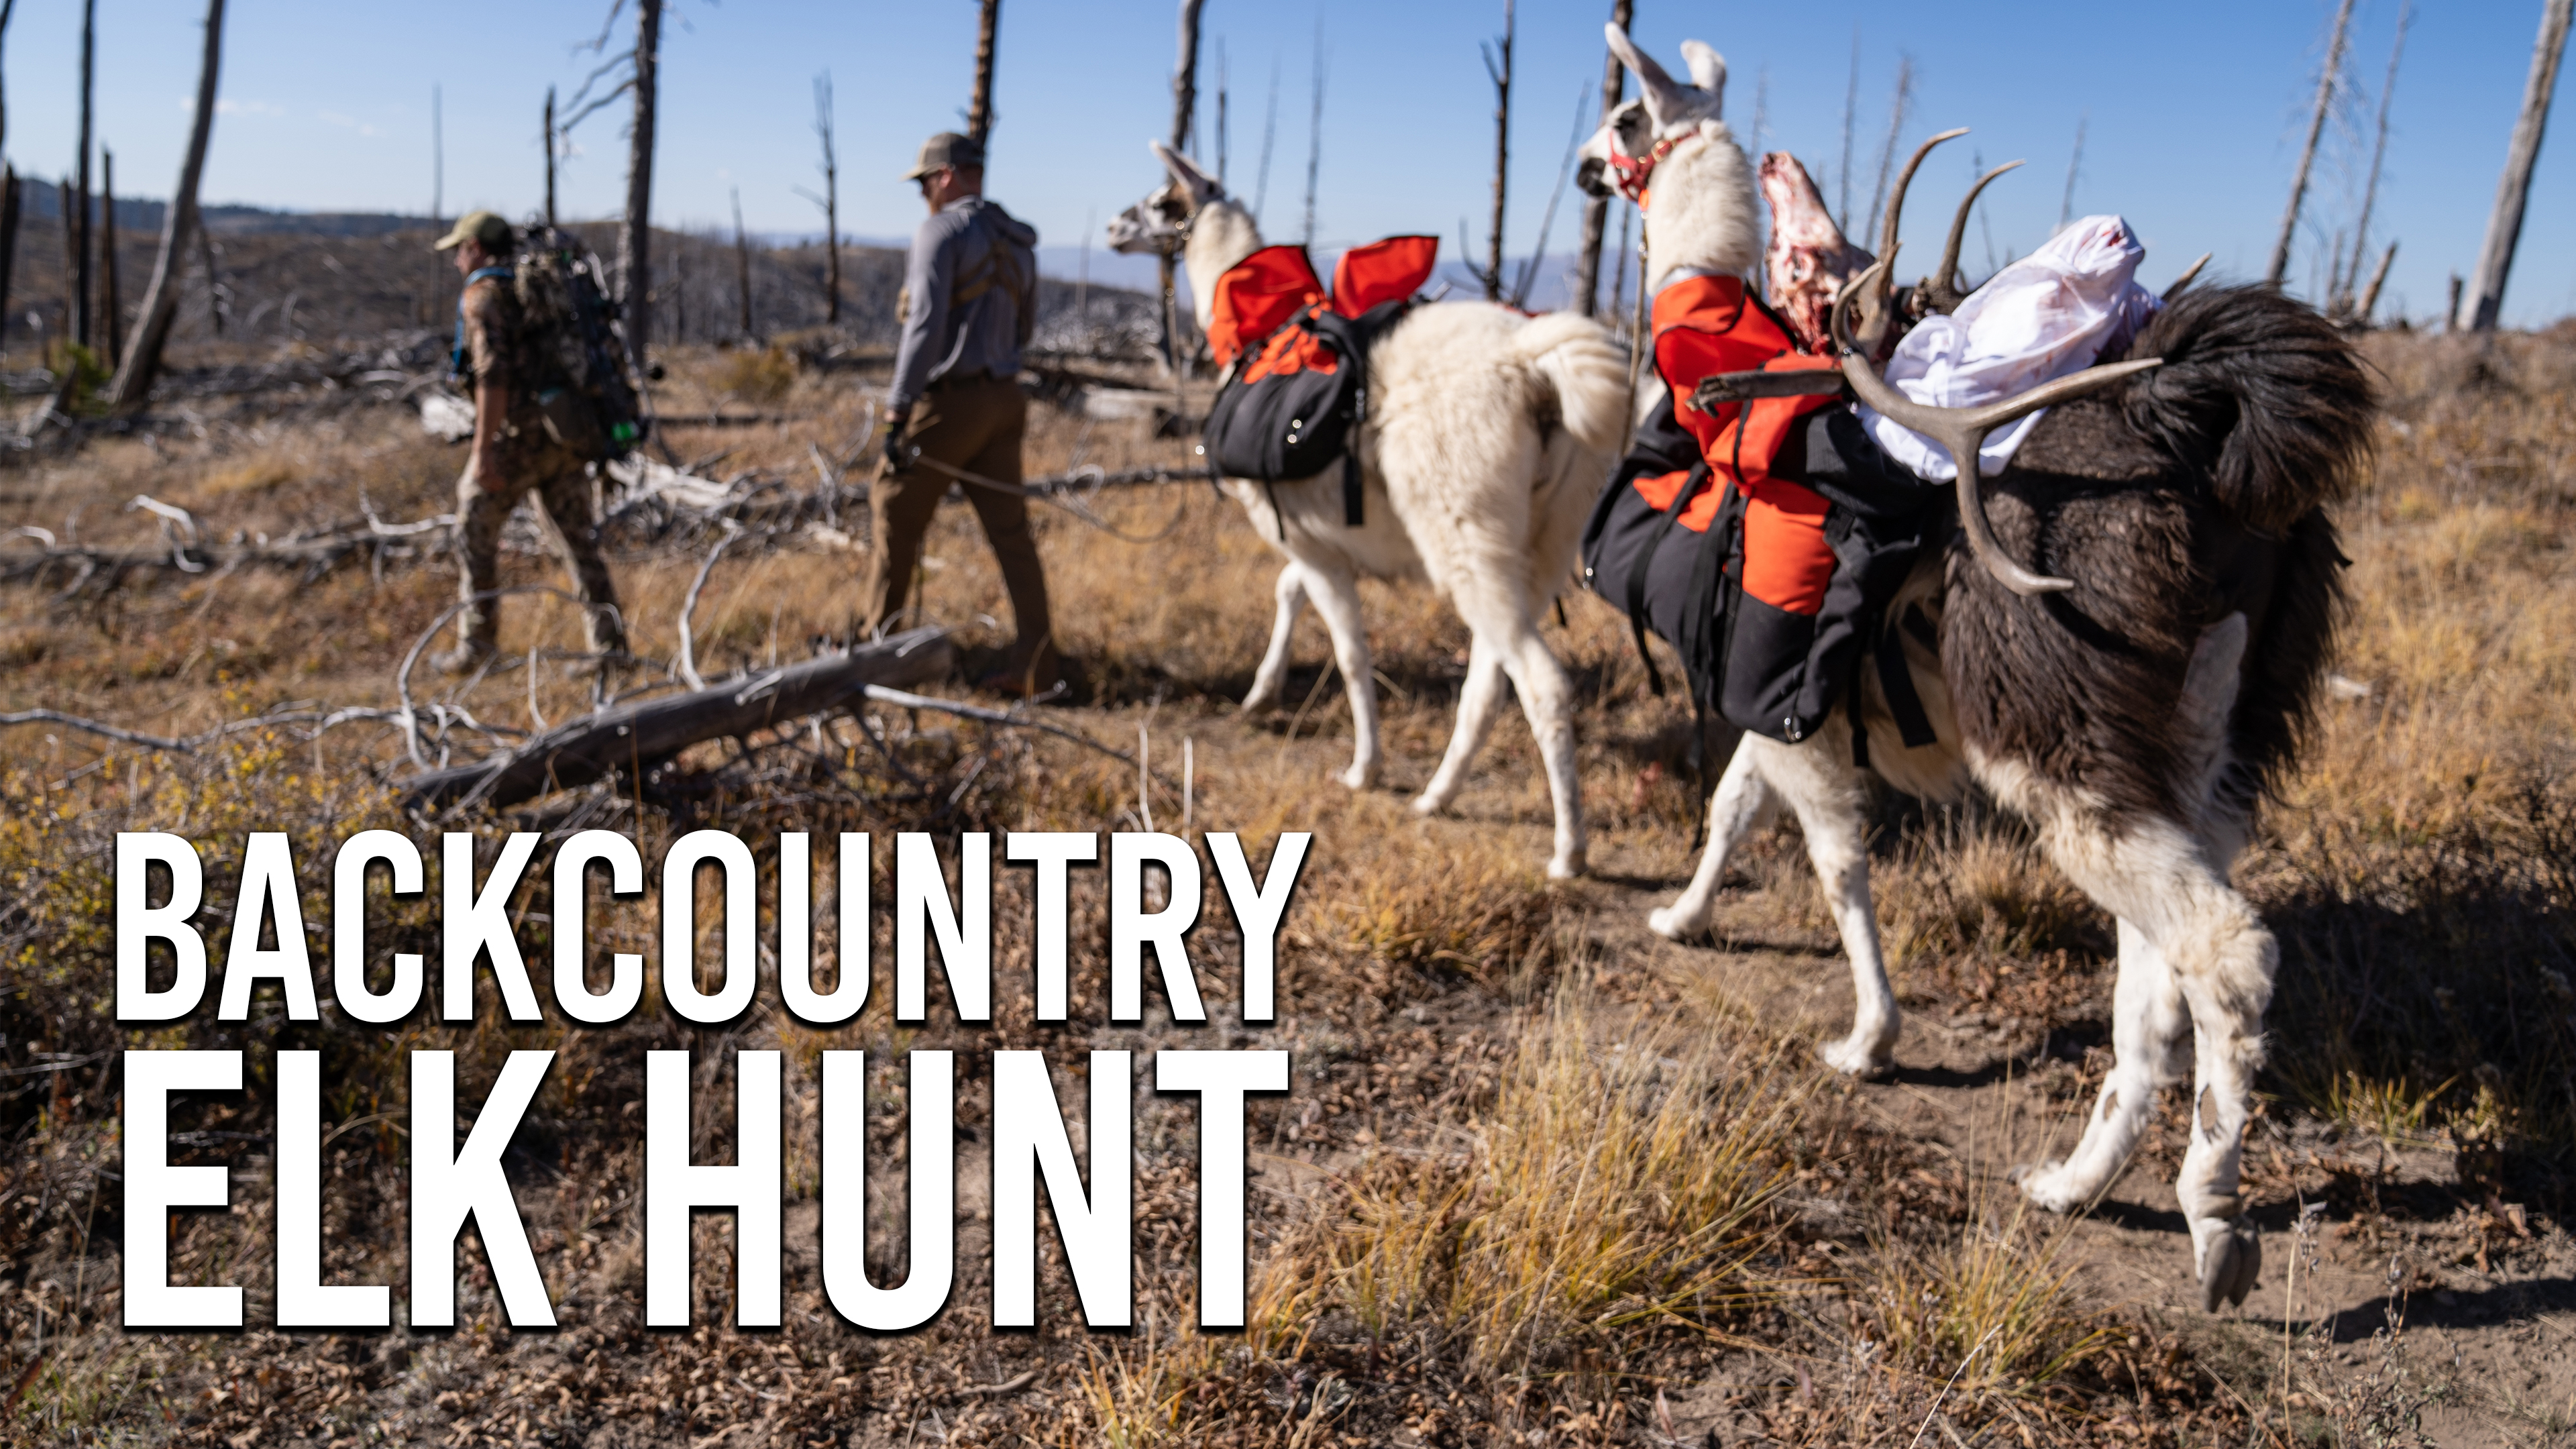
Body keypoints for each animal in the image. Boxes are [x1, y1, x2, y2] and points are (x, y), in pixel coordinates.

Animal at [1107, 142, 1630, 880]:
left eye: (1161, 201)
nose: (1113, 228)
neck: (1259, 332)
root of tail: (1533, 361)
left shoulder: (1310, 543)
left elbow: (1351, 652)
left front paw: (1363, 768)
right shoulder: (1316, 537)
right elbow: (1287, 590)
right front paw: (1261, 694)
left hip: (1466, 532)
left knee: (1541, 683)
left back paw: (1567, 851)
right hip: (1542, 542)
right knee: (1488, 681)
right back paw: (1438, 796)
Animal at [1580, 29, 2374, 1312]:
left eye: (1624, 117)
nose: (1585, 174)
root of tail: (2192, 423)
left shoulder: (1794, 710)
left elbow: (1836, 867)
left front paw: (1867, 1040)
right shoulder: (1773, 710)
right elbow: (1729, 810)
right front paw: (1682, 917)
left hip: (2057, 745)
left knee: (2224, 953)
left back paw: (2214, 1218)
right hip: (2203, 754)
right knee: (2151, 987)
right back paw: (2074, 1184)